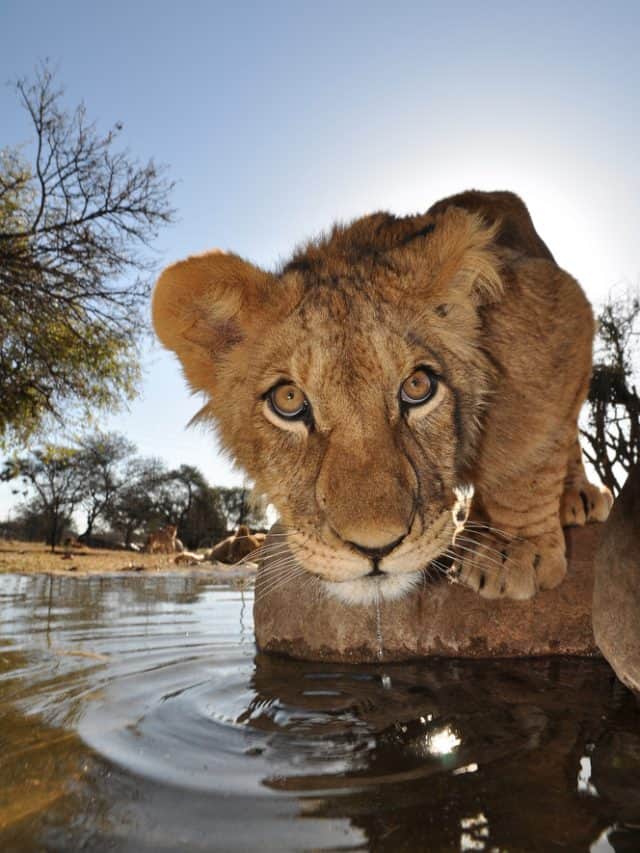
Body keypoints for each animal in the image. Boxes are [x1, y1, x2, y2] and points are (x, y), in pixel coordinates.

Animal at [152, 189, 612, 603]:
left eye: (417, 387)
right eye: (289, 400)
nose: (376, 548)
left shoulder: (556, 302)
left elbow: (522, 448)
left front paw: (508, 551)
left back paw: (577, 497)